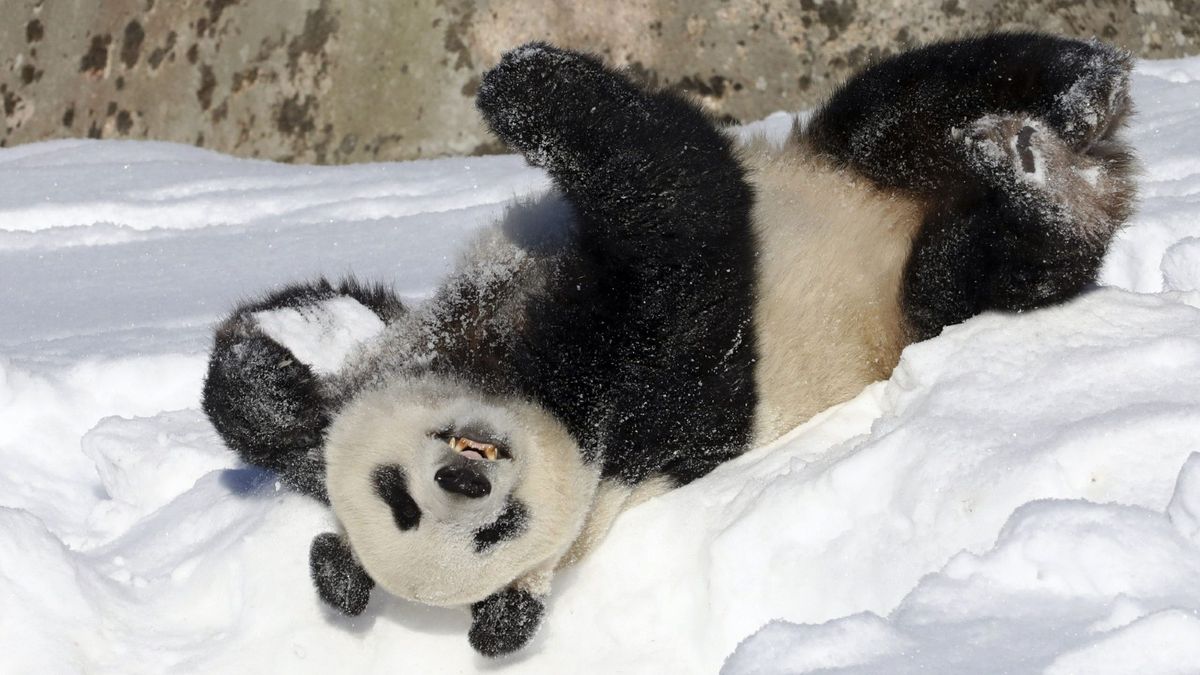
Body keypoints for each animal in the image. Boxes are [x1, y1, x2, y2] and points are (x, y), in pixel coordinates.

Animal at [204, 34, 1132, 653]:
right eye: (491, 533)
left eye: (396, 494)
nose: (466, 478)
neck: (515, 372)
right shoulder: (653, 400)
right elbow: (681, 211)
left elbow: (280, 391)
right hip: (919, 295)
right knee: (991, 262)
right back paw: (1043, 181)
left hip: (855, 160)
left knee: (913, 95)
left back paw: (1077, 94)